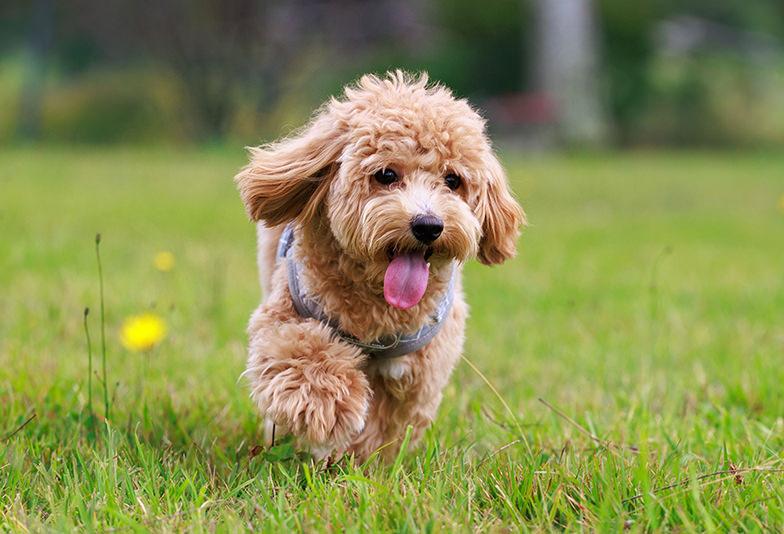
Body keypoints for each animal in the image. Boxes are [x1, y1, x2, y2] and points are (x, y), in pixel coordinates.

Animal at [236, 71, 524, 464]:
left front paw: (363, 457)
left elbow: (390, 419)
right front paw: (326, 405)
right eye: (386, 174)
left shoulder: (420, 368)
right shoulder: (287, 314)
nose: (428, 225)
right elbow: (303, 353)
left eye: (453, 180)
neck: (377, 306)